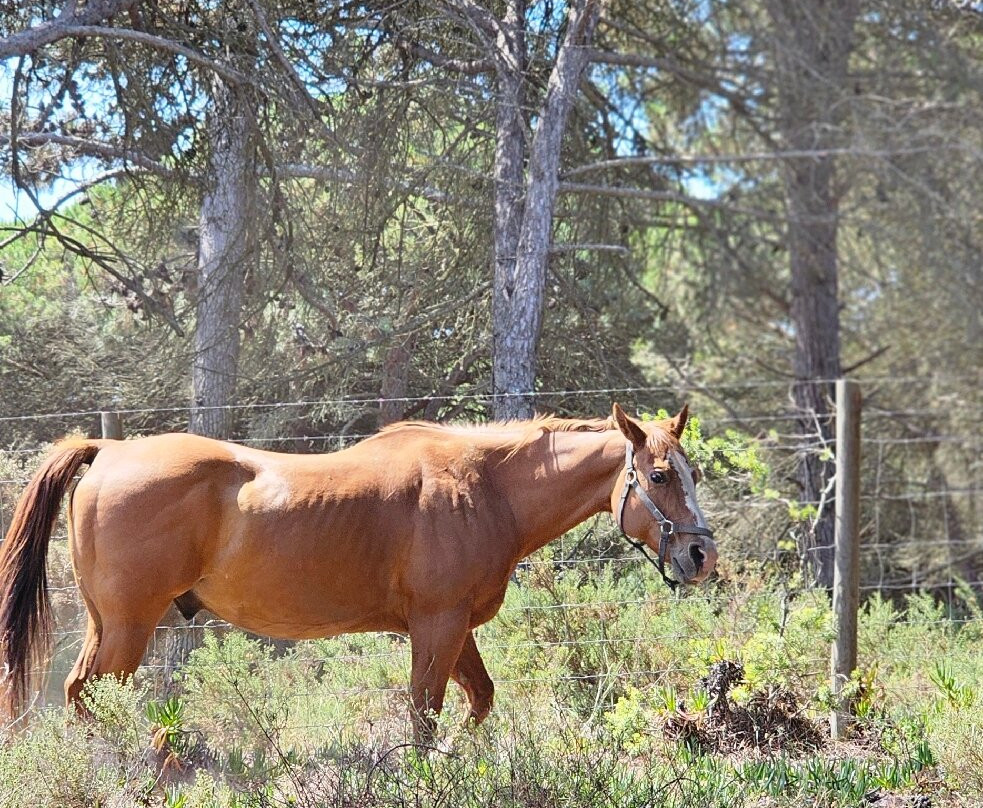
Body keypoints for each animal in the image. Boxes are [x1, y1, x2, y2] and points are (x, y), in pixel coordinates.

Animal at [0, 402, 717, 739]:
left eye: (694, 472)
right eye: (658, 475)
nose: (700, 556)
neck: (483, 486)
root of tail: (109, 450)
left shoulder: (454, 629)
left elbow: (477, 702)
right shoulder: (436, 626)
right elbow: (423, 717)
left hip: (108, 626)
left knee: (83, 696)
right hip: (128, 627)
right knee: (92, 697)